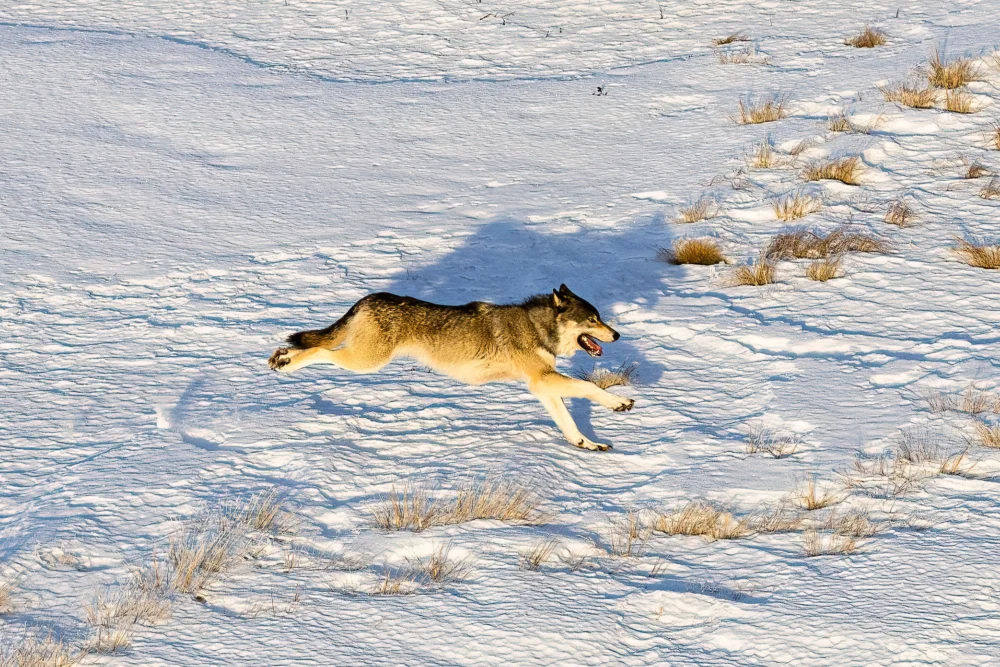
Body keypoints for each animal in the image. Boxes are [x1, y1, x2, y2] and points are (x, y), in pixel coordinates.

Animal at [268, 284, 634, 451]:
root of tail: (369, 298)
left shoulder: (542, 386)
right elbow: (589, 387)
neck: (536, 327)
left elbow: (568, 423)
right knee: (318, 350)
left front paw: (587, 444)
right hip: (365, 362)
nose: (617, 334)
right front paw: (620, 403)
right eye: (593, 320)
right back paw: (284, 362)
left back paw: (280, 356)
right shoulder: (542, 380)